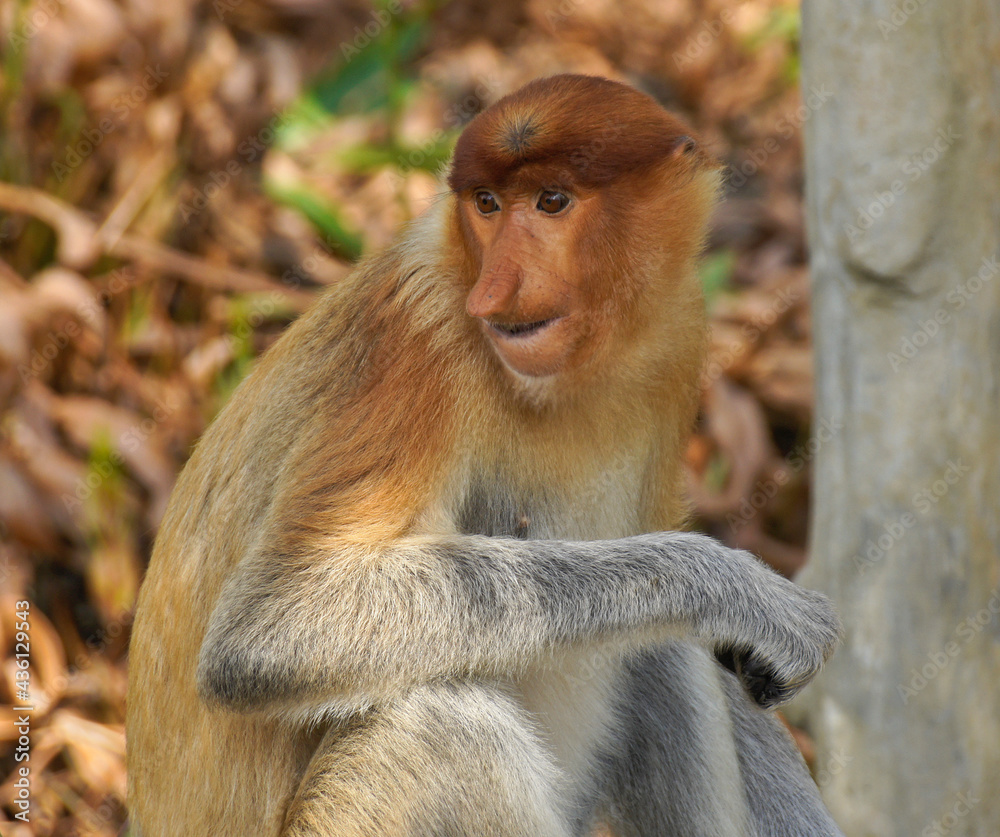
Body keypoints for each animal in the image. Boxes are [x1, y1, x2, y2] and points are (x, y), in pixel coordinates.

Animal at [126, 74, 843, 836]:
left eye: (552, 201)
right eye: (487, 205)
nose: (496, 289)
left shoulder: (677, 328)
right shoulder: (419, 338)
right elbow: (269, 626)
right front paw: (742, 588)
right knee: (449, 726)